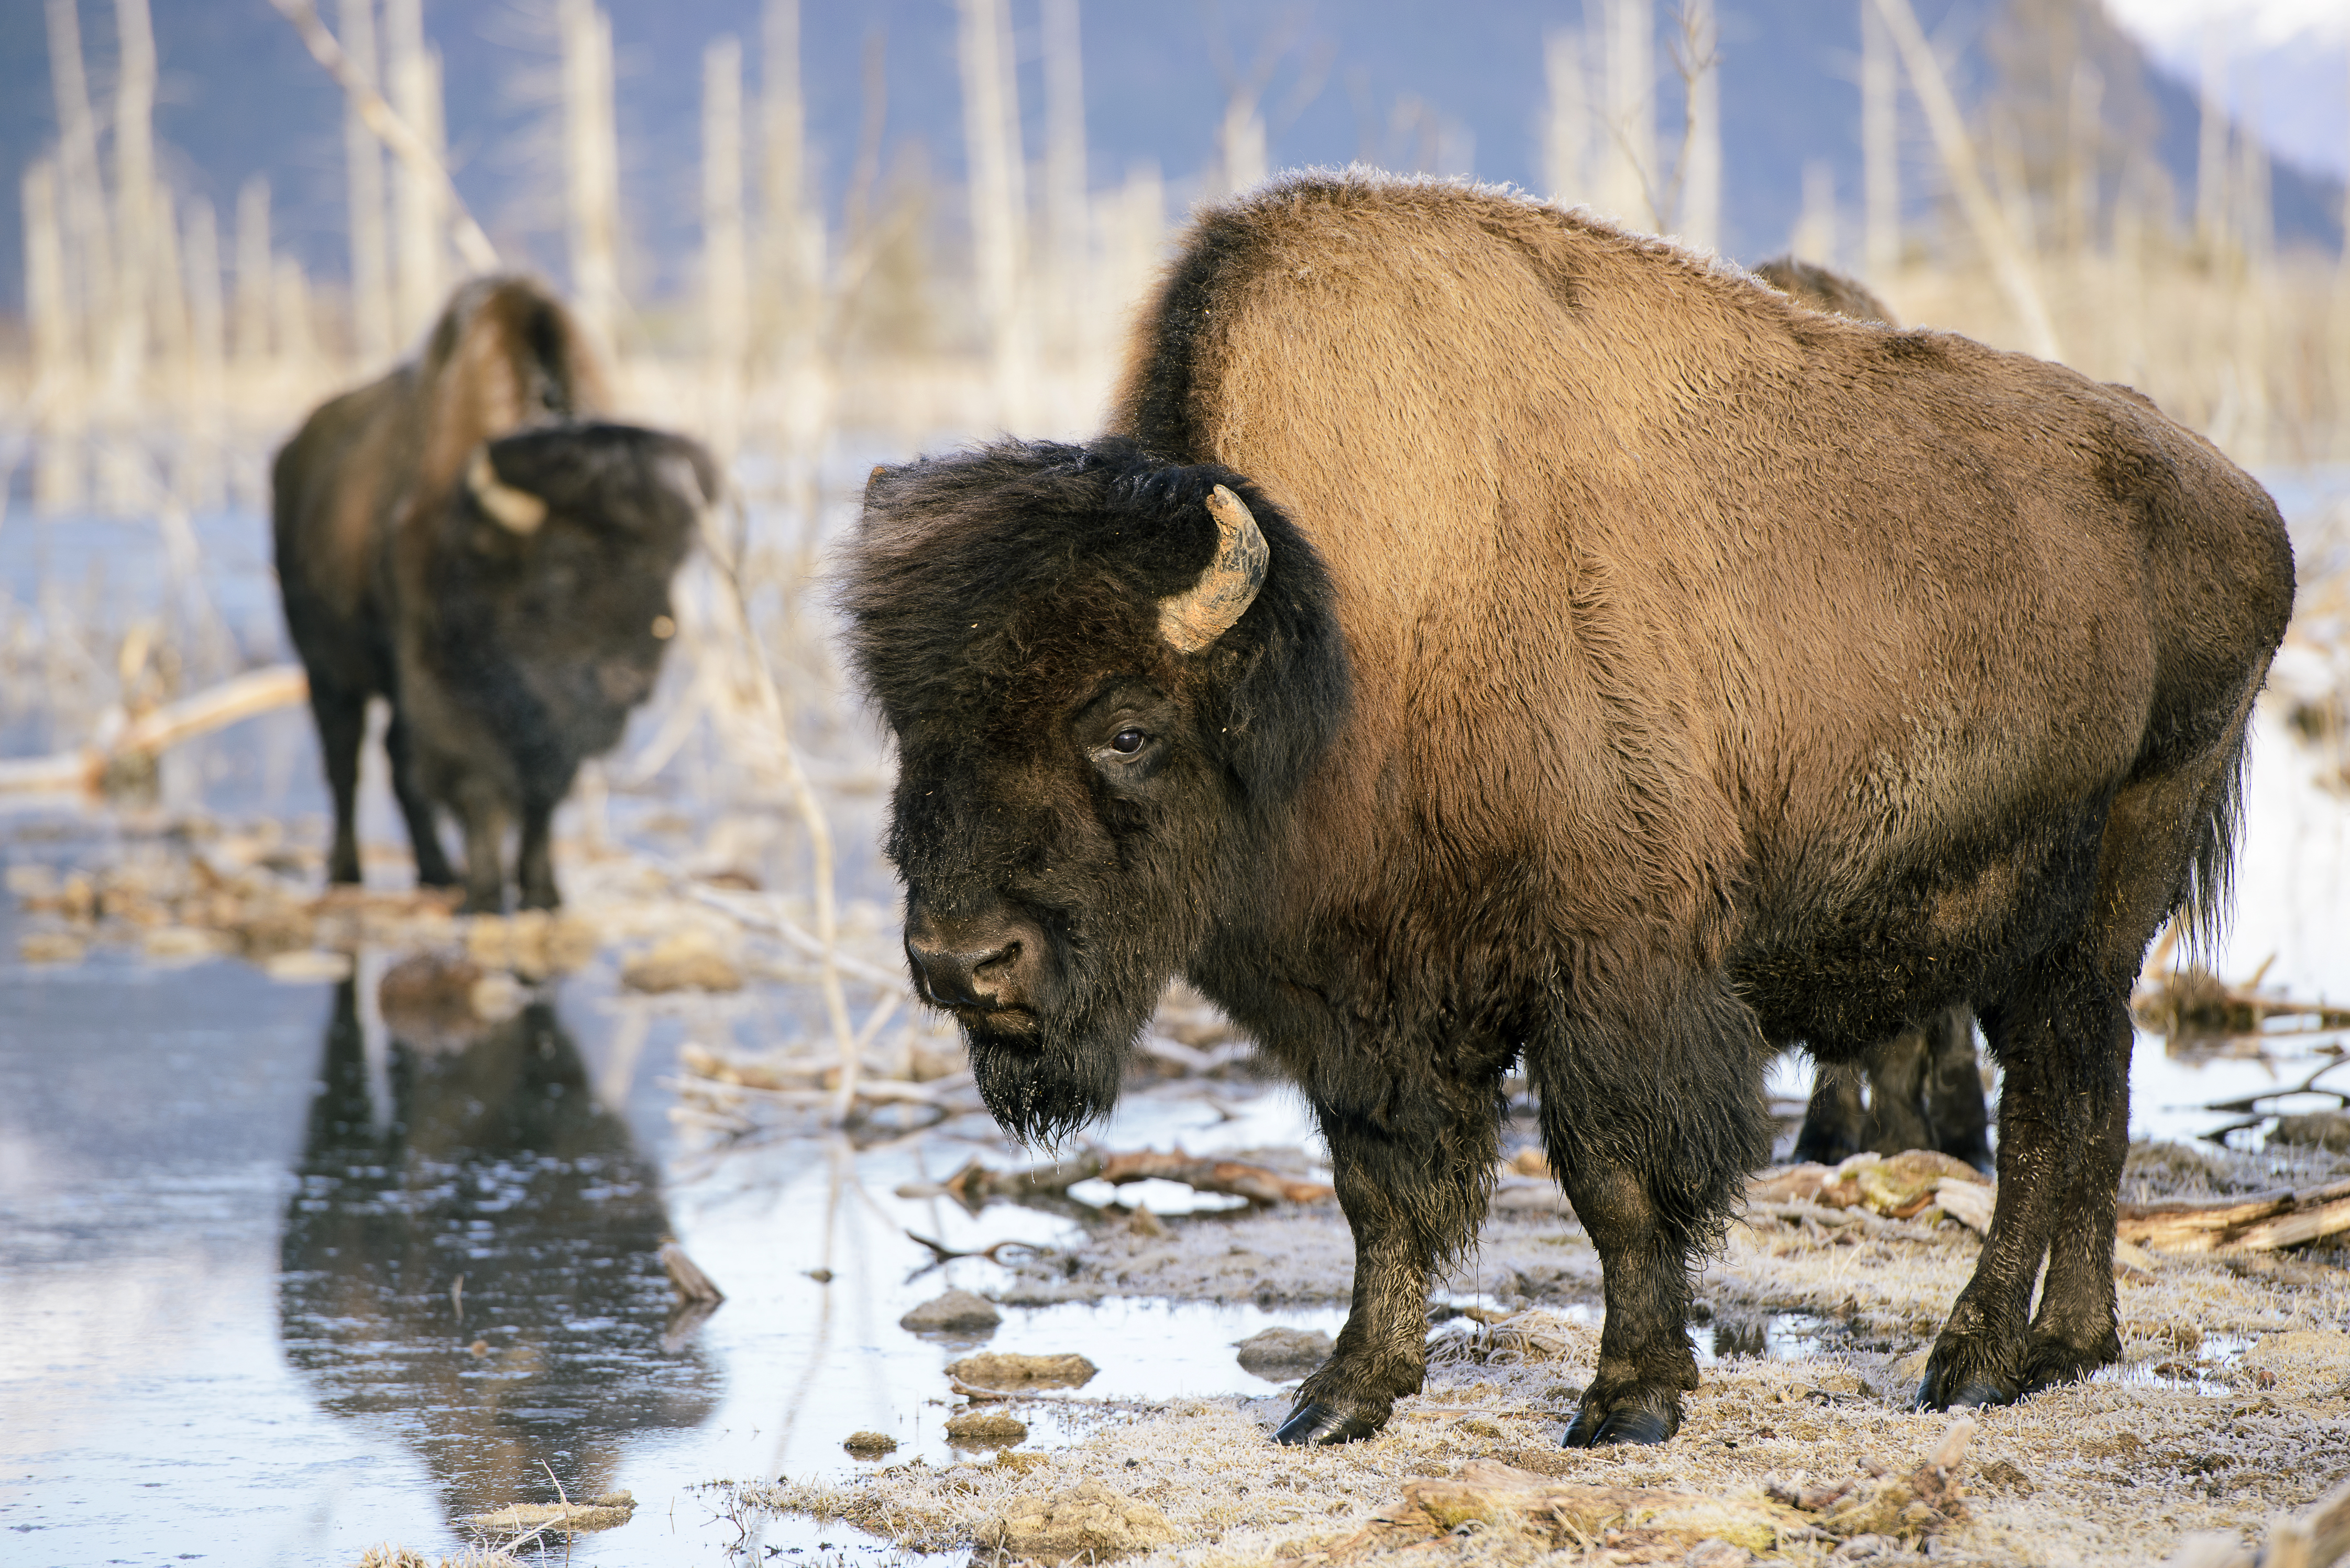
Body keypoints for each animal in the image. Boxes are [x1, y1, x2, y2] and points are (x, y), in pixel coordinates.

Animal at [273, 276, 715, 912]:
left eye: (671, 564)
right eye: (563, 566)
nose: (628, 682)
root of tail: (293, 454)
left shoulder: (548, 726)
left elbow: (542, 797)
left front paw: (543, 893)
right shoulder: (449, 695)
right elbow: (479, 790)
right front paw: (485, 897)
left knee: (397, 761)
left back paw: (436, 873)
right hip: (328, 670)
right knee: (345, 762)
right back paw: (347, 875)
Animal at [844, 172, 2292, 1448]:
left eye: (1128, 727)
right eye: (908, 728)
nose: (961, 962)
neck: (1345, 637)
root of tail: (2245, 506)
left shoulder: (1607, 973)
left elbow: (1612, 1181)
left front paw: (1627, 1400)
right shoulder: (1359, 1013)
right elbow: (1375, 1192)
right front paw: (1338, 1399)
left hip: (2091, 889)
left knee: (2048, 1111)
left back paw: (1974, 1360)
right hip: (2069, 930)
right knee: (2093, 1094)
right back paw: (2069, 1345)